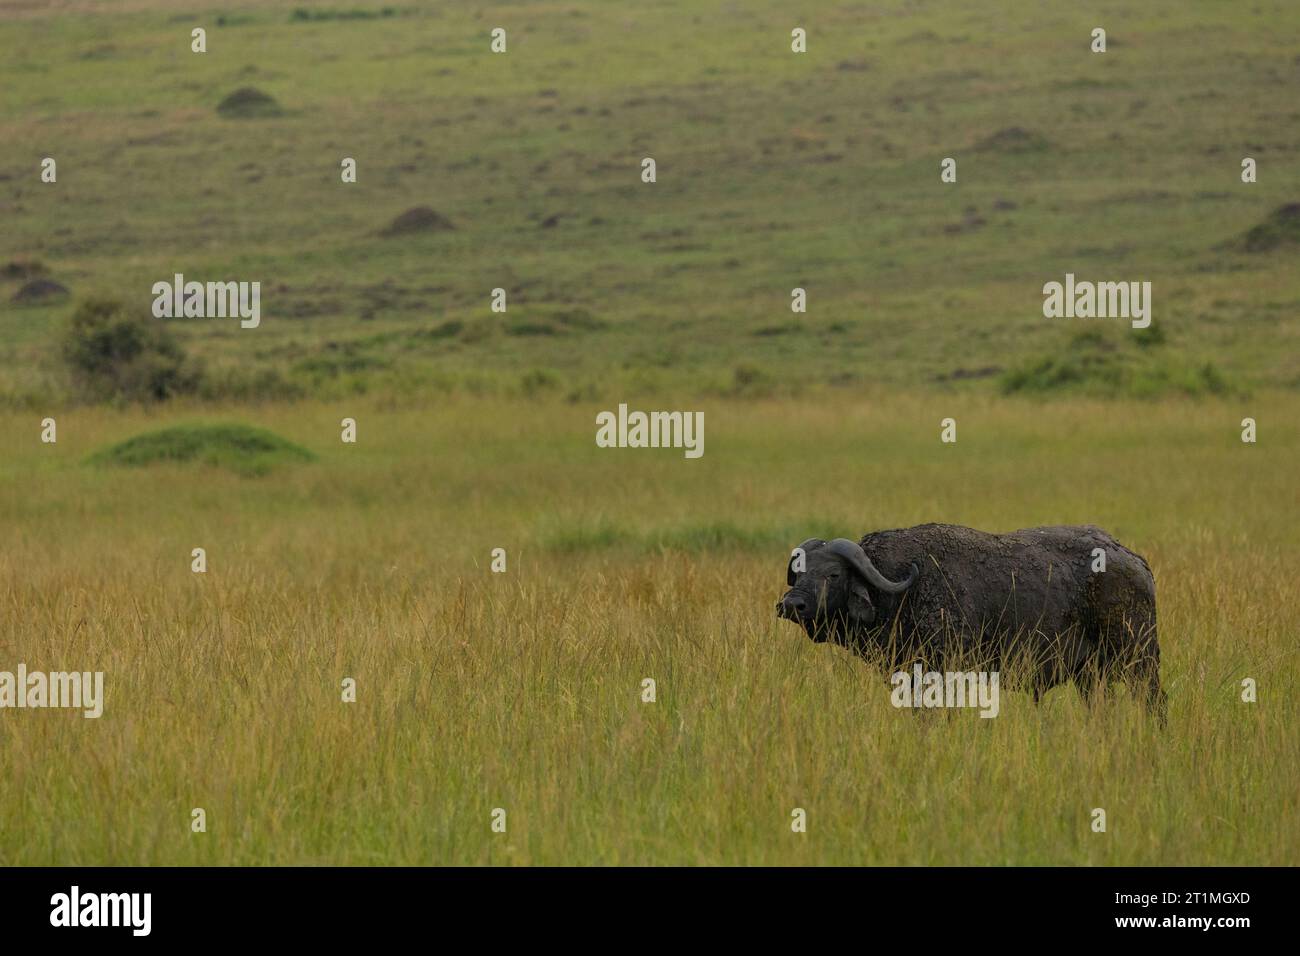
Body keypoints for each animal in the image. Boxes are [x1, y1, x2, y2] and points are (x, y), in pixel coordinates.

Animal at [777, 523, 1164, 719]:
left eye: (833, 574)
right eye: (800, 571)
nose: (791, 604)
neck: (902, 588)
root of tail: (1132, 558)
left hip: (1141, 660)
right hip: (1091, 676)